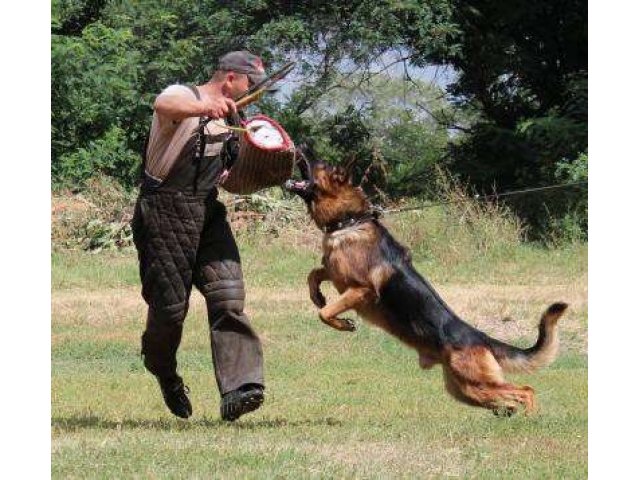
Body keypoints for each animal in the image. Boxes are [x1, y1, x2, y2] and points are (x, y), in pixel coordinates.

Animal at [288, 144, 568, 414]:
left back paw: (529, 419)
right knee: (509, 399)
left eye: (321, 164)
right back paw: (510, 414)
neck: (349, 220)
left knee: (526, 391)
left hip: (476, 383)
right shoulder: (336, 273)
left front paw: (342, 323)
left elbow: (324, 313)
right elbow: (314, 274)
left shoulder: (360, 289)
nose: (302, 144)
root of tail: (480, 337)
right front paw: (317, 295)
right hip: (467, 391)